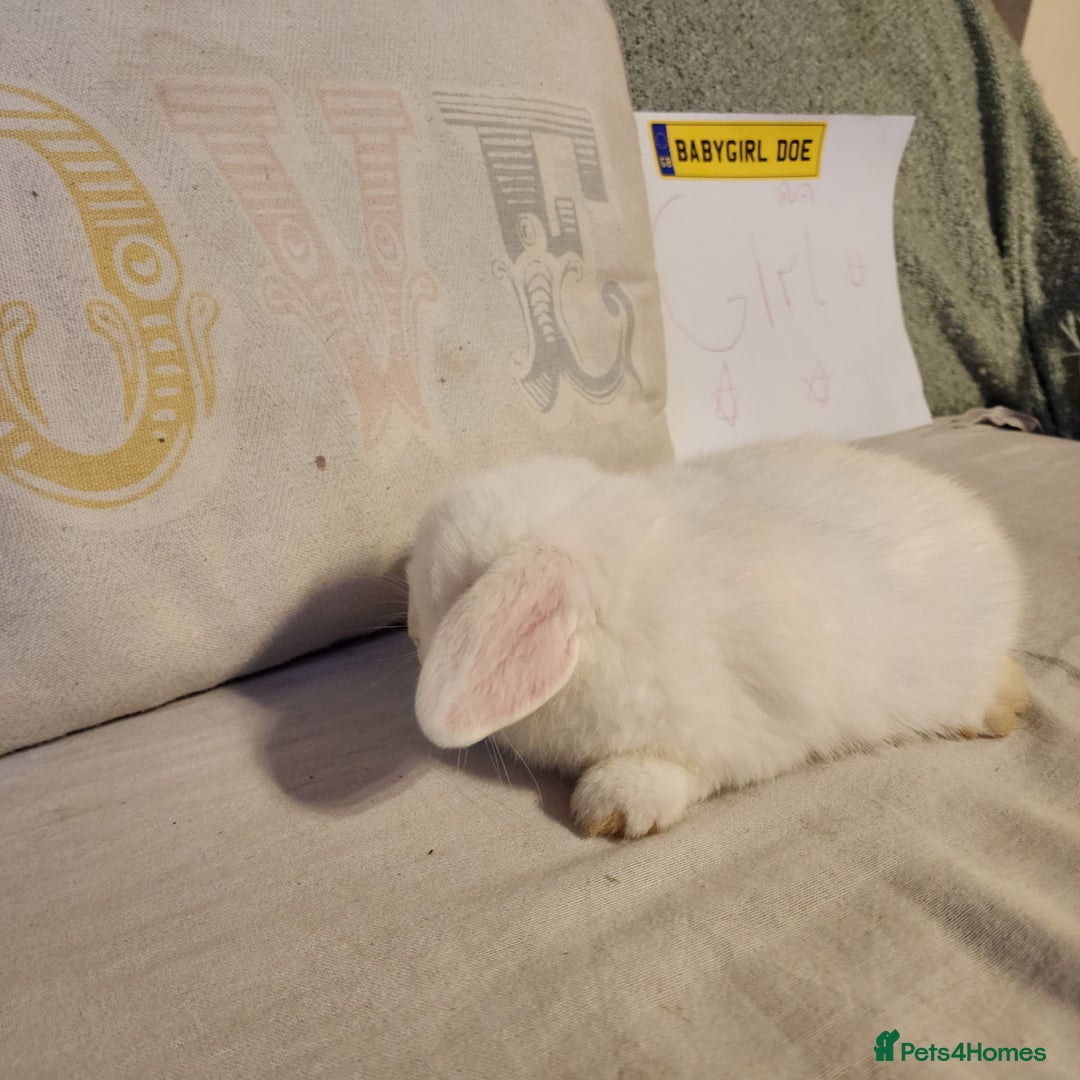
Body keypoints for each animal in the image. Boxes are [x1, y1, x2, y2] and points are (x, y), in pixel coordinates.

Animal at [405, 439, 1028, 839]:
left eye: (454, 588)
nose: (410, 629)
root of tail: (997, 548)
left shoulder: (741, 735)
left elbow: (676, 770)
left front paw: (612, 807)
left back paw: (1000, 712)